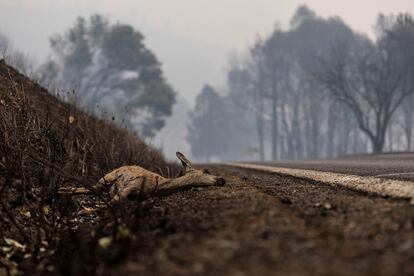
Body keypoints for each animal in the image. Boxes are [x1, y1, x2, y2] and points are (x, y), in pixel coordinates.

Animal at [59, 152, 225, 202]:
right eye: (206, 171)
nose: (222, 180)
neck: (158, 186)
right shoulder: (129, 187)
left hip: (101, 185)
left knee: (85, 188)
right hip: (104, 178)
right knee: (87, 187)